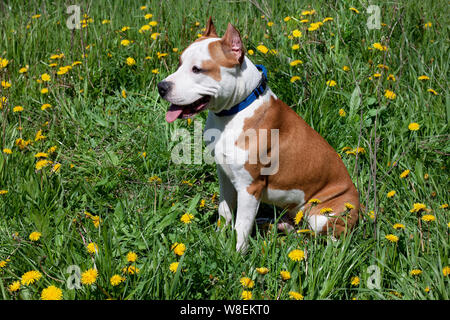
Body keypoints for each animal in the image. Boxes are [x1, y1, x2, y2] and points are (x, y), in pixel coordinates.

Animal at [158, 18, 358, 252]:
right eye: (180, 63)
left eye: (197, 69)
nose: (161, 87)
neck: (234, 111)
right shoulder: (225, 175)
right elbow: (225, 211)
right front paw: (219, 237)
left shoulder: (249, 187)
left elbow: (242, 226)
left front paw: (236, 254)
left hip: (323, 215)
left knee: (329, 240)